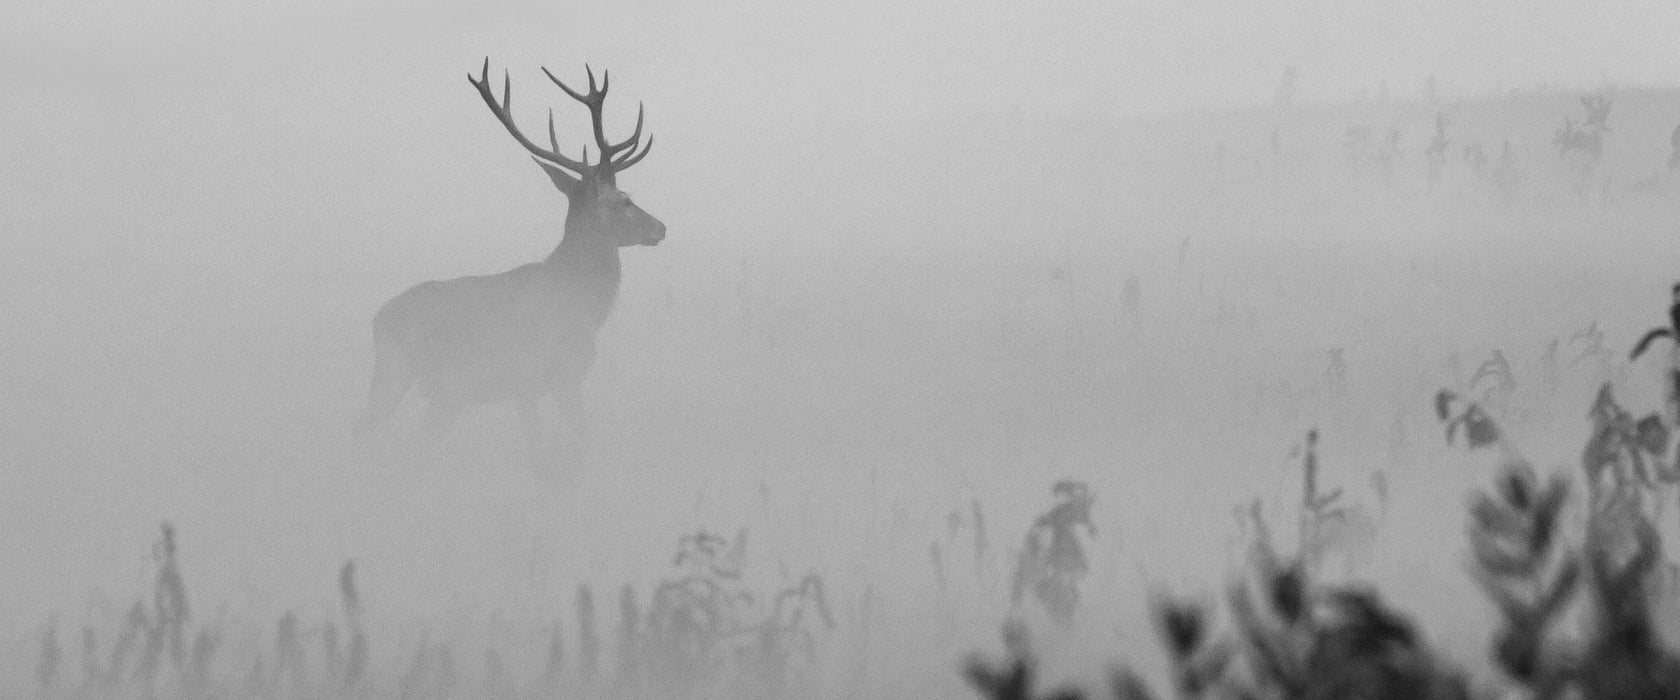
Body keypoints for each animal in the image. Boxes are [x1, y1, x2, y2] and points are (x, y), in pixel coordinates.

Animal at [354, 58, 661, 456]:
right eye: (625, 199)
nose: (660, 227)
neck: (584, 305)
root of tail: (378, 319)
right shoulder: (557, 376)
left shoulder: (527, 389)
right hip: (405, 374)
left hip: (440, 395)